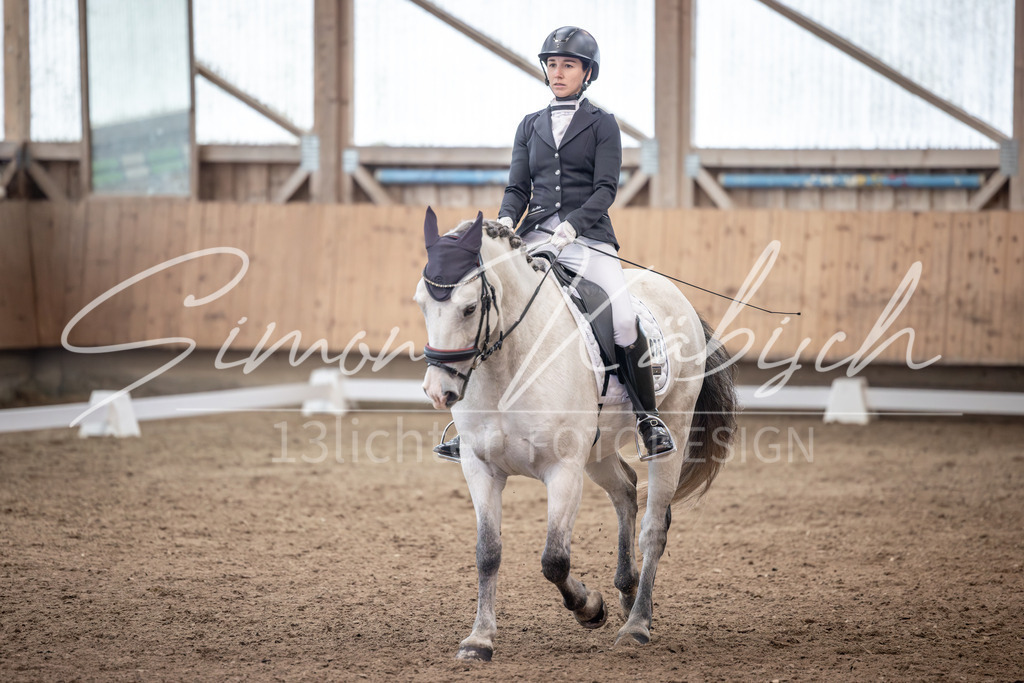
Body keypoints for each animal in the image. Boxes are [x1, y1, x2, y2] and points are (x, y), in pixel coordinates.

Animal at [414, 209, 737, 661]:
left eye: (469, 307)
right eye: (422, 304)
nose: (438, 391)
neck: (508, 366)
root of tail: (676, 295)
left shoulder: (562, 470)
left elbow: (554, 560)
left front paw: (590, 608)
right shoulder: (480, 468)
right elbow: (487, 553)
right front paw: (479, 639)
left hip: (670, 429)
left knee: (654, 526)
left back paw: (636, 625)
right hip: (598, 451)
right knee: (626, 490)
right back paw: (627, 593)